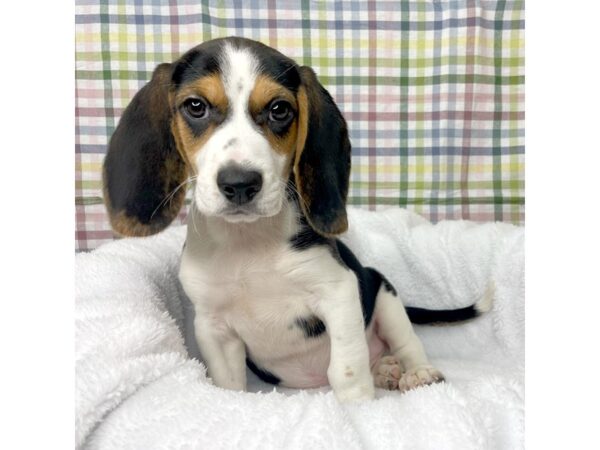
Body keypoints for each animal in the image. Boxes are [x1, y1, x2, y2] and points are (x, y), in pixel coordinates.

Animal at [102, 36, 488, 400]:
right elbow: (229, 384)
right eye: (195, 106)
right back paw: (386, 370)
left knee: (407, 343)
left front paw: (361, 407)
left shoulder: (338, 291)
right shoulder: (212, 325)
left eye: (279, 109)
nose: (239, 183)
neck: (248, 242)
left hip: (383, 292)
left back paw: (417, 373)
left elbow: (347, 371)